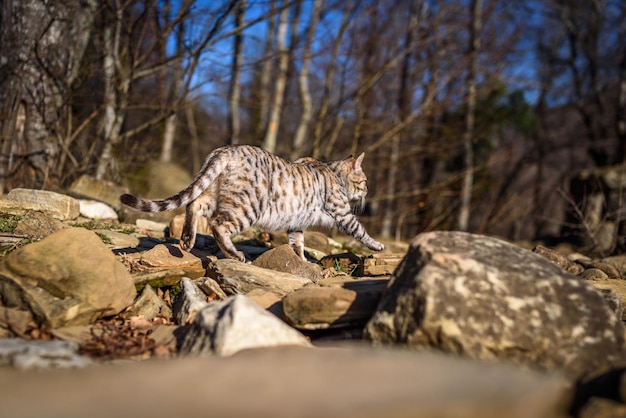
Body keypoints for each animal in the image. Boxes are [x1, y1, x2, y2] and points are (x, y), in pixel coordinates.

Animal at [116, 144, 380, 262]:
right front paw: (376, 245)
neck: (333, 172)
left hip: (217, 196)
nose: (369, 189)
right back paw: (235, 254)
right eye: (365, 181)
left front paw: (302, 262)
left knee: (193, 204)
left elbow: (297, 245)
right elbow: (361, 231)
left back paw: (187, 240)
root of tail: (225, 150)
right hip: (247, 207)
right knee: (218, 226)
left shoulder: (296, 223)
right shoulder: (343, 213)